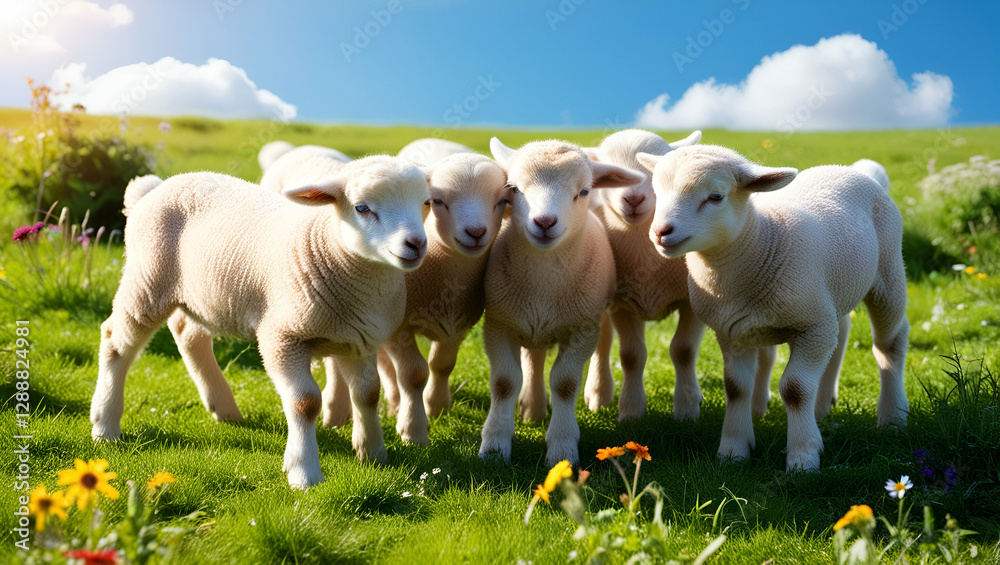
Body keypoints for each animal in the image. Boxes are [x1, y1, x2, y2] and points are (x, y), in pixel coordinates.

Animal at [90, 158, 430, 488]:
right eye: (362, 207)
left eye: (426, 202)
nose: (416, 243)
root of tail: (153, 189)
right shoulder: (281, 337)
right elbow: (305, 402)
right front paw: (304, 473)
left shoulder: (358, 340)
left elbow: (368, 393)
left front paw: (373, 453)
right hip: (147, 278)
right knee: (115, 340)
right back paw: (105, 424)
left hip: (195, 293)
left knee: (188, 334)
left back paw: (224, 407)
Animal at [479, 137, 645, 466]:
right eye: (514, 188)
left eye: (583, 191)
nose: (544, 221)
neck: (544, 285)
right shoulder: (498, 323)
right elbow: (504, 382)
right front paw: (494, 447)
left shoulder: (582, 330)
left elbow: (565, 384)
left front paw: (562, 449)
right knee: (533, 358)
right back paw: (532, 407)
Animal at [636, 146, 909, 471]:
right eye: (657, 192)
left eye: (716, 196)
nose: (661, 232)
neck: (763, 238)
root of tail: (851, 169)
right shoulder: (732, 331)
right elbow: (735, 387)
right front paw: (733, 450)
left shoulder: (812, 328)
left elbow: (795, 389)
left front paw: (803, 456)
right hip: (831, 293)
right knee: (842, 331)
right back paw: (822, 406)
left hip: (887, 274)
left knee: (890, 342)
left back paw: (893, 416)